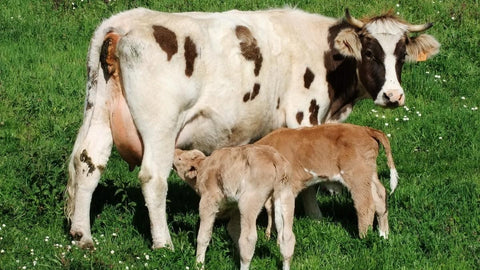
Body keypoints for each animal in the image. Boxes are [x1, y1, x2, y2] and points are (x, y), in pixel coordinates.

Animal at [256, 123, 400, 238]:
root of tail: (366, 129)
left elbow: (276, 210)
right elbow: (272, 208)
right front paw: (269, 235)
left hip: (357, 175)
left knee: (366, 204)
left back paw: (364, 237)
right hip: (369, 174)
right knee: (380, 196)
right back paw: (383, 235)